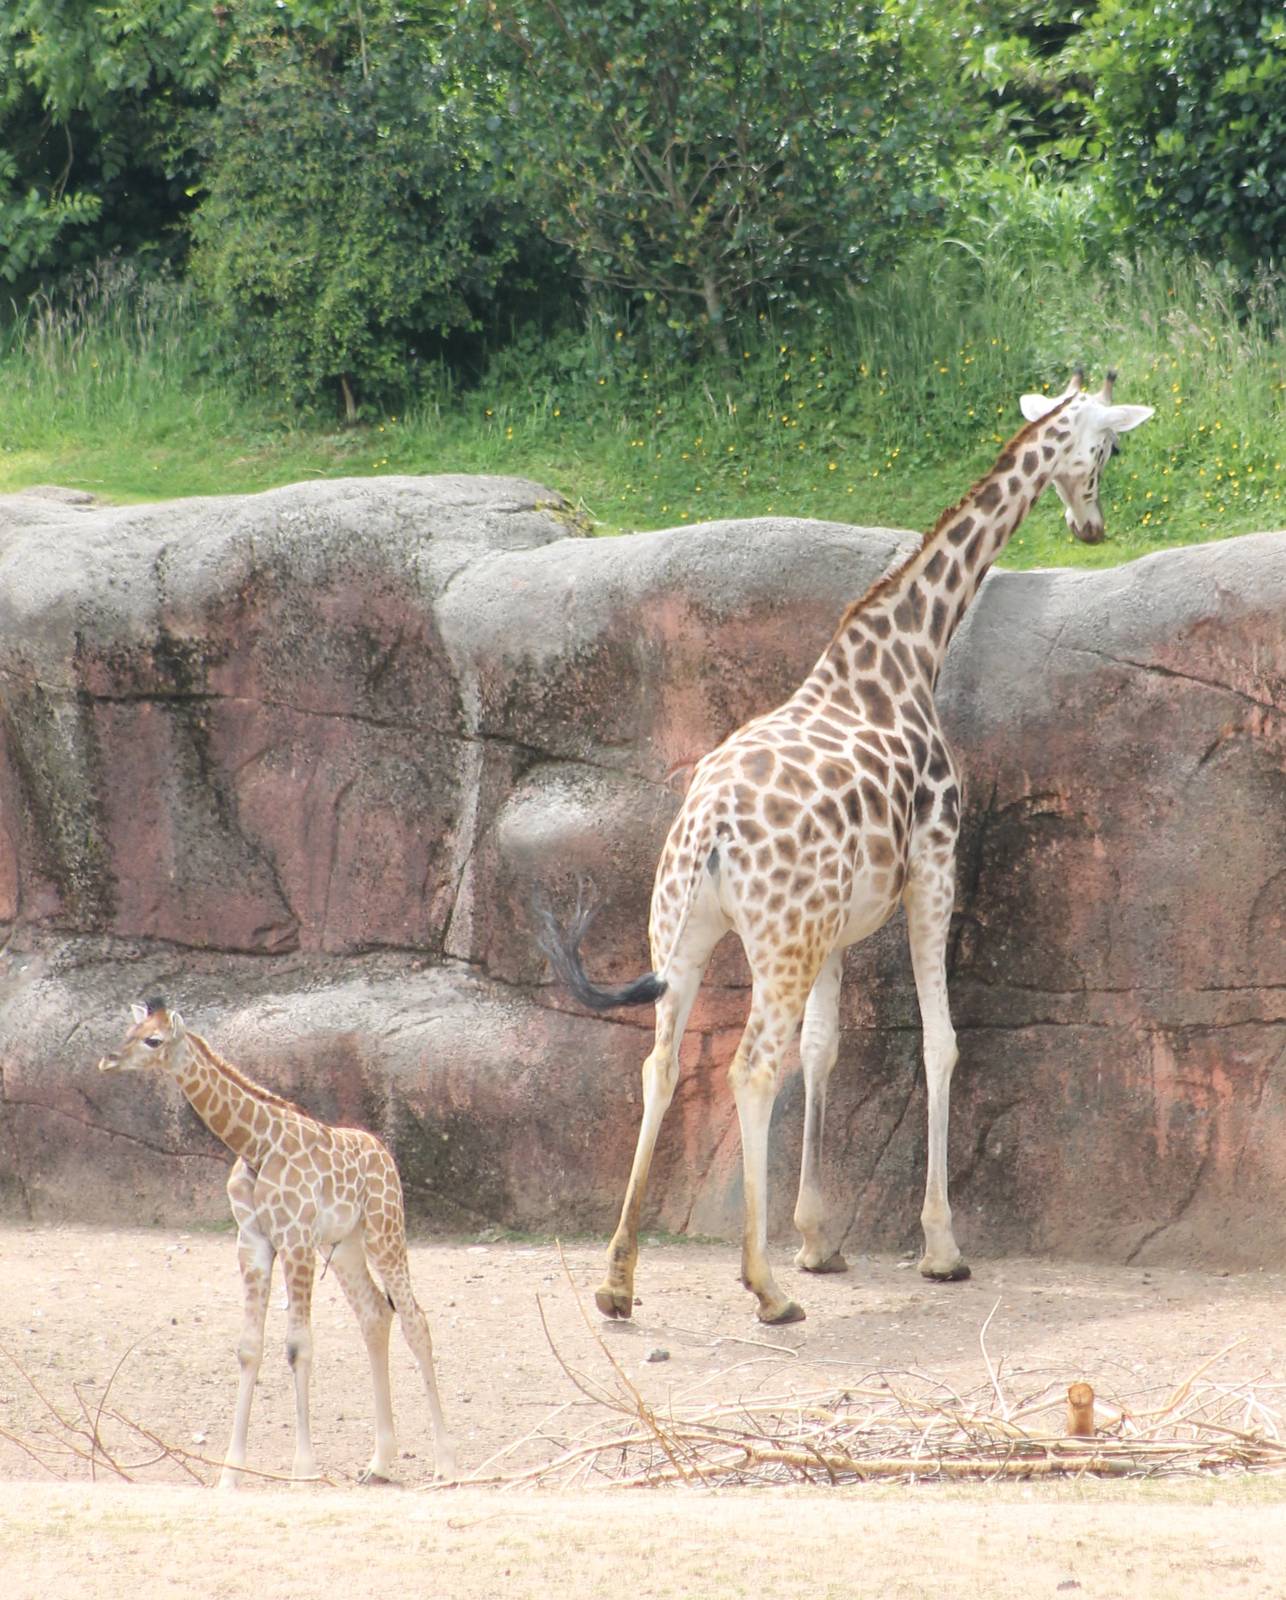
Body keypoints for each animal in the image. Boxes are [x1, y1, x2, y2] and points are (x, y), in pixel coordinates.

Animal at [97, 998, 456, 1486]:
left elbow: (298, 1346)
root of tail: (383, 1152)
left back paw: (446, 1464)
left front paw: (303, 1469)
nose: (107, 1060)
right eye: (129, 1030)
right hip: (345, 1245)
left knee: (415, 1320)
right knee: (375, 1315)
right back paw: (378, 1463)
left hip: (384, 1229)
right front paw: (230, 1474)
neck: (256, 1145)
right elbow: (249, 1348)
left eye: (153, 1039)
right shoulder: (252, 1243)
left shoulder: (296, 1238)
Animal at [538, 370, 1153, 1325]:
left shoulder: (838, 923)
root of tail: (710, 830)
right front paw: (940, 1248)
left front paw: (820, 1239)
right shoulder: (933, 868)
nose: (1093, 526)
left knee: (661, 1063)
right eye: (1110, 448)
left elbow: (826, 1049)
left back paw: (617, 1279)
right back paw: (764, 1288)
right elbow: (939, 1041)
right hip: (777, 940)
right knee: (751, 1068)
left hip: (685, 928)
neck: (907, 652)